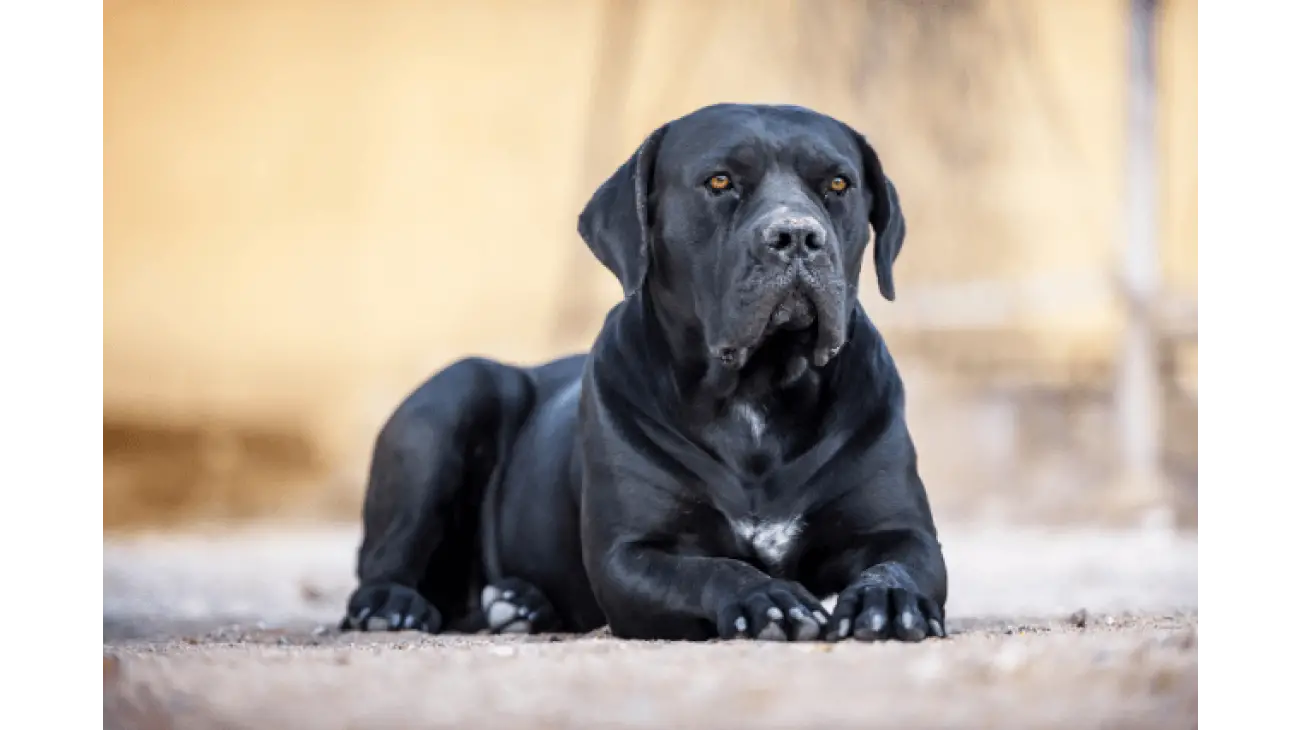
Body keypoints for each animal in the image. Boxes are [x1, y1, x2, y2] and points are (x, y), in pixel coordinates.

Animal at [343, 103, 956, 641]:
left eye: (838, 185)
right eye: (719, 181)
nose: (798, 236)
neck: (757, 393)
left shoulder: (902, 533)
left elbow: (898, 564)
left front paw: (889, 602)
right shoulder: (631, 554)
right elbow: (712, 567)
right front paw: (770, 598)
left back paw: (519, 603)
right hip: (457, 394)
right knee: (383, 561)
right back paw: (392, 604)